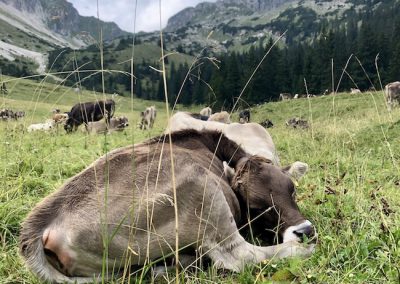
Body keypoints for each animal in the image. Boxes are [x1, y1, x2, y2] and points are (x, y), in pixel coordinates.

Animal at [19, 130, 316, 282]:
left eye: (291, 189)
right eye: (255, 207)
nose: (306, 230)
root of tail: (41, 222)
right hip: (205, 195)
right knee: (239, 256)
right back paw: (299, 248)